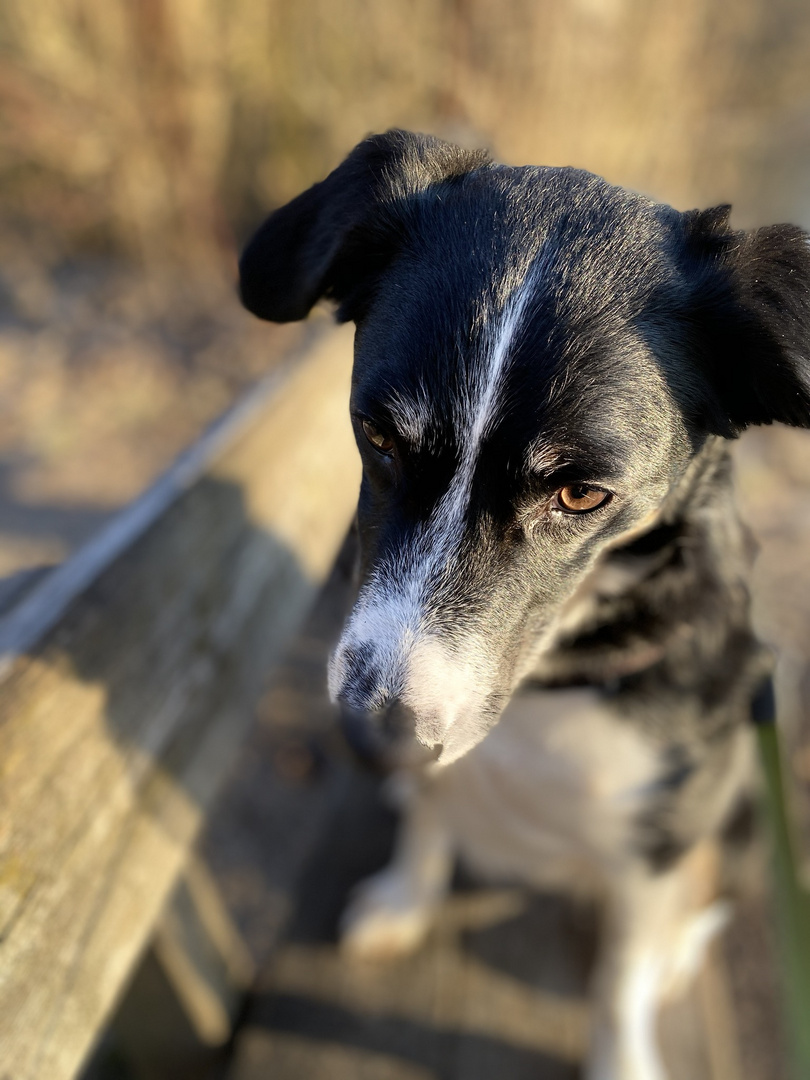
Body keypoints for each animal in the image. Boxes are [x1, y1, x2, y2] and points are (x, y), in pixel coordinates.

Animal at [240, 135, 810, 1080]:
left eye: (581, 494)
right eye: (378, 436)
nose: (373, 741)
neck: (562, 674)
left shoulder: (657, 843)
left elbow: (617, 983)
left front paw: (624, 1054)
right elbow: (430, 821)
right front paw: (405, 898)